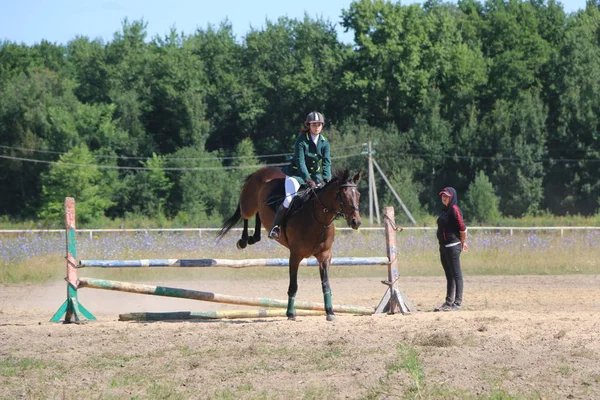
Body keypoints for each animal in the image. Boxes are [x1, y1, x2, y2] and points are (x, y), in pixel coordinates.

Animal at [218, 168, 364, 322]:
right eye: (343, 195)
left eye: (358, 195)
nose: (356, 222)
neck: (317, 218)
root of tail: (262, 170)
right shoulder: (295, 256)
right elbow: (293, 285)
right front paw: (290, 313)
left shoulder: (324, 256)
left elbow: (326, 284)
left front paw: (330, 311)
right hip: (248, 205)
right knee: (245, 215)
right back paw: (243, 241)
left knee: (258, 215)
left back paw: (254, 237)